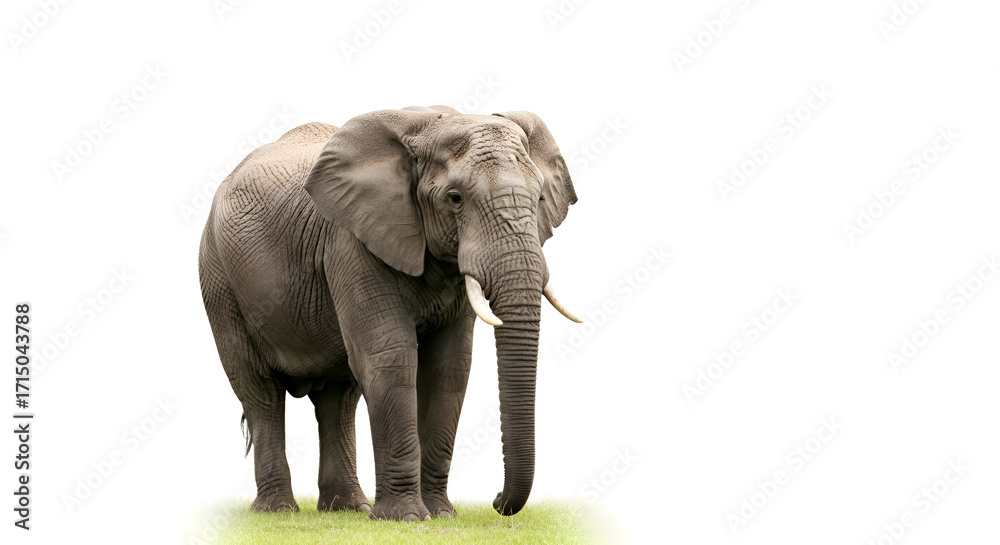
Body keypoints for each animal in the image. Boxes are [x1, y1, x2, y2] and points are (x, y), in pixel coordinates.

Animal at [198, 105, 579, 521]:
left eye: (540, 198)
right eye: (455, 198)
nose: (496, 500)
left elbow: (449, 367)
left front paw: (440, 514)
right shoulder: (351, 241)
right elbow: (391, 357)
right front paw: (406, 518)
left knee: (338, 397)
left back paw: (346, 508)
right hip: (219, 279)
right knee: (260, 391)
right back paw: (279, 511)